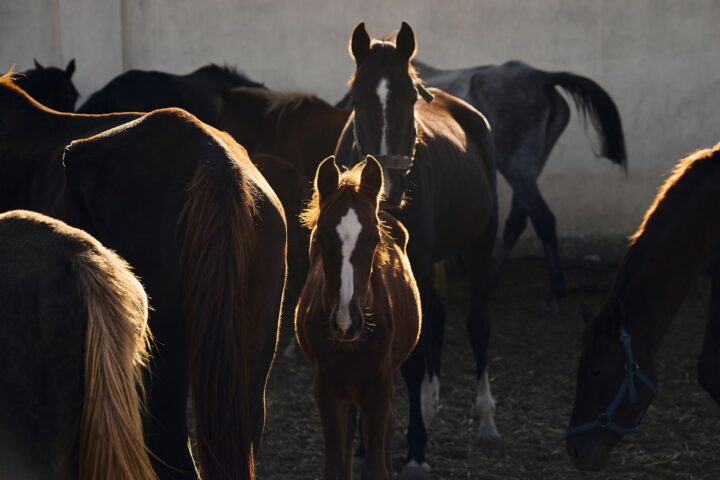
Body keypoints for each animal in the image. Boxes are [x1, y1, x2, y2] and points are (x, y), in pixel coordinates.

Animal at [295, 156, 421, 480]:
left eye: (374, 239)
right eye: (320, 237)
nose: (345, 322)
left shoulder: (379, 387)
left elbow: (378, 465)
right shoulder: (326, 389)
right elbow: (335, 466)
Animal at [335, 23, 498, 476]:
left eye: (410, 98)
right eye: (356, 99)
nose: (389, 190)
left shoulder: (420, 264)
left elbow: (408, 359)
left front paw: (416, 453)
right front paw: (361, 446)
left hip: (480, 246)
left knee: (477, 325)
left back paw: (486, 420)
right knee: (436, 318)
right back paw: (428, 401)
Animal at [338, 60, 627, 314]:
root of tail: (543, 78)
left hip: (517, 167)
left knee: (542, 218)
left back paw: (552, 295)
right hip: (527, 168)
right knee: (518, 220)